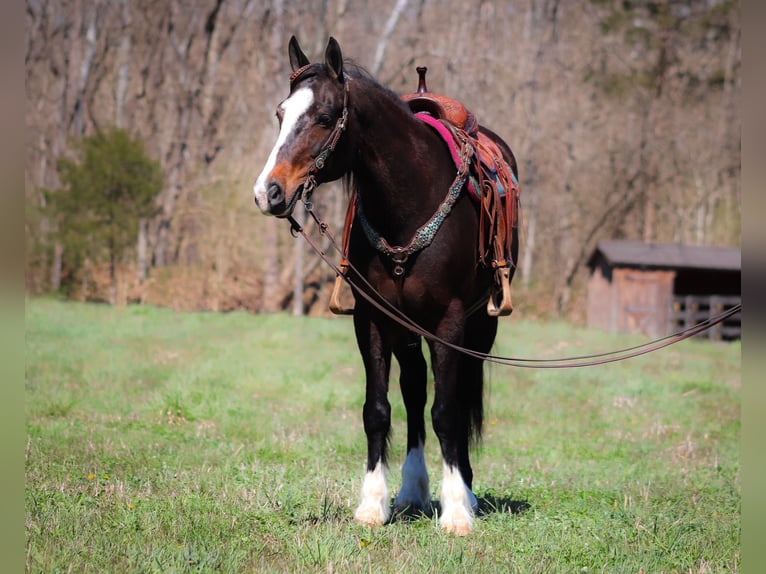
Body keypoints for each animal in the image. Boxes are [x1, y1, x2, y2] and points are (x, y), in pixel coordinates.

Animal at [254, 37, 520, 540]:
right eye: (281, 114)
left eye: (324, 117)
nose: (268, 192)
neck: (409, 202)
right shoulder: (372, 319)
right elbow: (377, 410)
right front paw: (372, 505)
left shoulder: (450, 322)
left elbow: (447, 411)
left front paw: (457, 513)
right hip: (406, 329)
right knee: (414, 389)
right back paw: (412, 490)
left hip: (479, 327)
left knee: (455, 396)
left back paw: (466, 492)